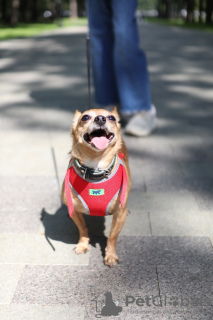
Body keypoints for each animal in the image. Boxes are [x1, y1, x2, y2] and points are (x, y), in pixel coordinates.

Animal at [61, 108, 131, 268]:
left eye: (111, 118)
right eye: (85, 117)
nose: (100, 118)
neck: (95, 167)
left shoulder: (120, 214)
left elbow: (112, 236)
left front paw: (110, 255)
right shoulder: (75, 211)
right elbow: (83, 228)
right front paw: (82, 245)